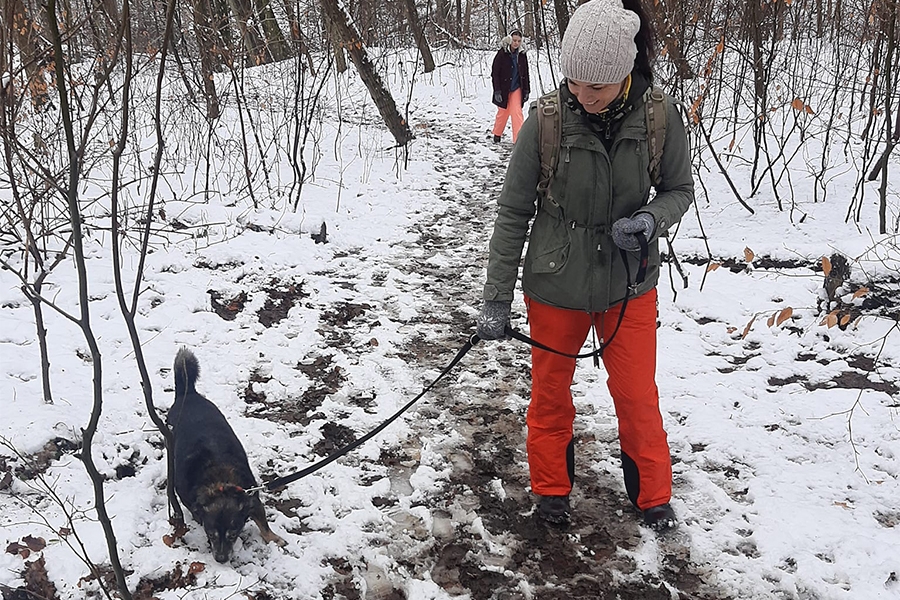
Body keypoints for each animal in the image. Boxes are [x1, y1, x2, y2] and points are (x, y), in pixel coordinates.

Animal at [167, 346, 284, 564]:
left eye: (233, 534)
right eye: (211, 534)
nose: (221, 559)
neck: (220, 482)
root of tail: (188, 394)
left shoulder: (253, 500)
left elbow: (263, 523)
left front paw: (272, 538)